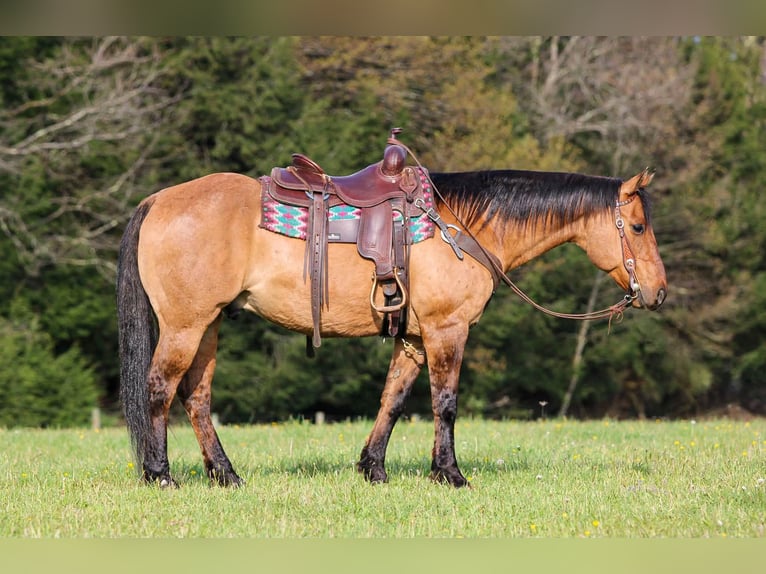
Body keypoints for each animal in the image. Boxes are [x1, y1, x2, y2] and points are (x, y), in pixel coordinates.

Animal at [117, 163, 667, 488]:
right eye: (639, 226)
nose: (658, 292)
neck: (460, 226)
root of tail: (157, 201)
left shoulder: (415, 339)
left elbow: (393, 400)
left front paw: (373, 467)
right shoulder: (448, 331)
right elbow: (445, 404)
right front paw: (450, 474)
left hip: (208, 326)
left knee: (196, 397)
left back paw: (225, 475)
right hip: (185, 326)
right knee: (160, 388)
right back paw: (160, 474)